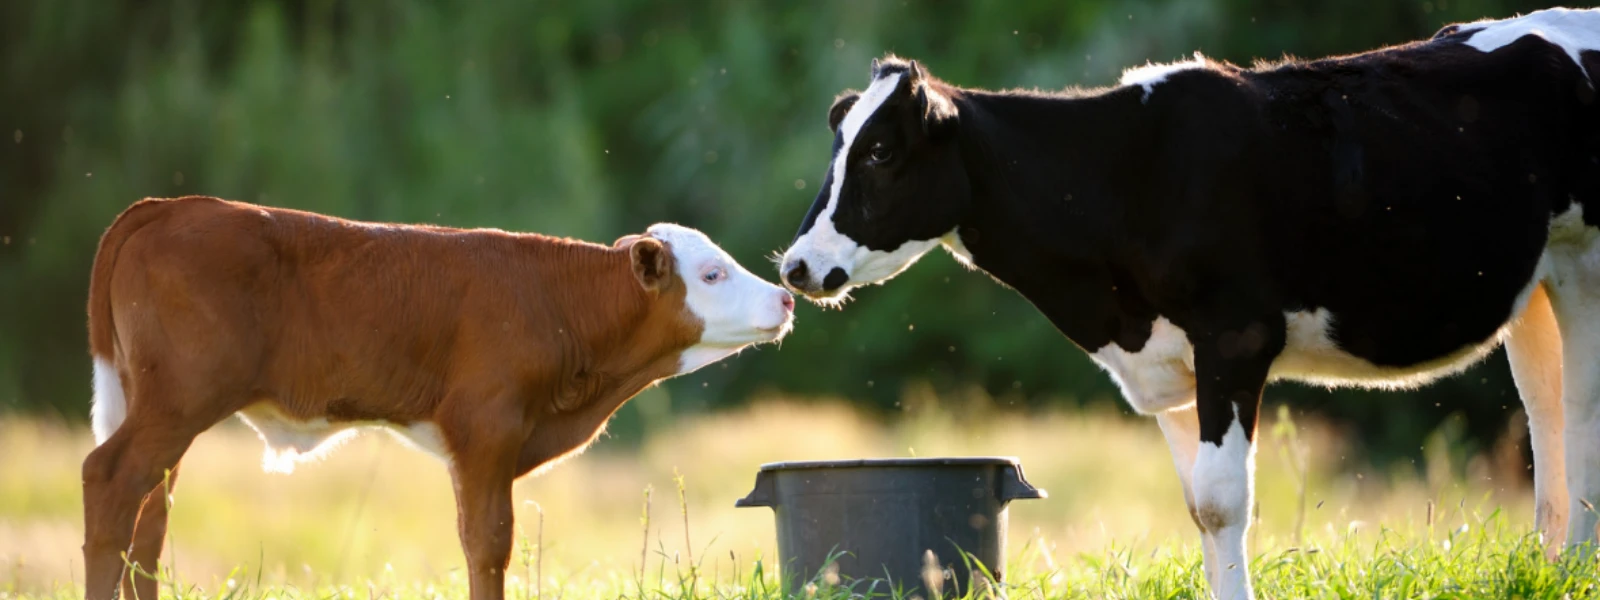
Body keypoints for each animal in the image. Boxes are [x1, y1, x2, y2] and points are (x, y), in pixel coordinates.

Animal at [81, 196, 794, 600]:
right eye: (712, 274)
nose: (786, 297)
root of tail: (168, 206)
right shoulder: (487, 425)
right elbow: (488, 541)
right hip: (179, 401)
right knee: (109, 479)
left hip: (165, 410)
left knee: (149, 516)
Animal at [778, 8, 1600, 599]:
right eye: (839, 148)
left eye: (881, 152)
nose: (796, 266)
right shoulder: (1169, 364)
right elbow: (1197, 506)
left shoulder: (1235, 336)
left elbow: (1222, 501)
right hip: (1535, 292)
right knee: (1548, 418)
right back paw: (1550, 569)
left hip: (1585, 263)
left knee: (1582, 414)